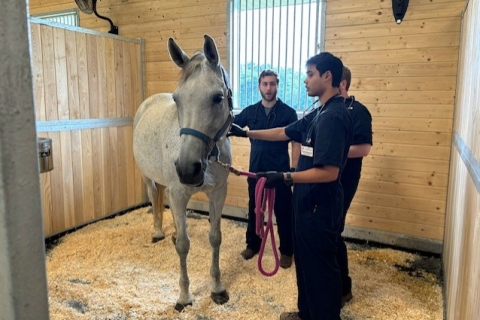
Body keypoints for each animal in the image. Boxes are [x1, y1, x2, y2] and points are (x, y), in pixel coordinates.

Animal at [133, 35, 232, 312]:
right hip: (147, 177)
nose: (188, 170)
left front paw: (217, 288)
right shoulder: (179, 193)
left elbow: (215, 238)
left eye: (218, 97)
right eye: (177, 100)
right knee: (154, 196)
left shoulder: (218, 193)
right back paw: (158, 232)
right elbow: (184, 246)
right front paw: (184, 296)